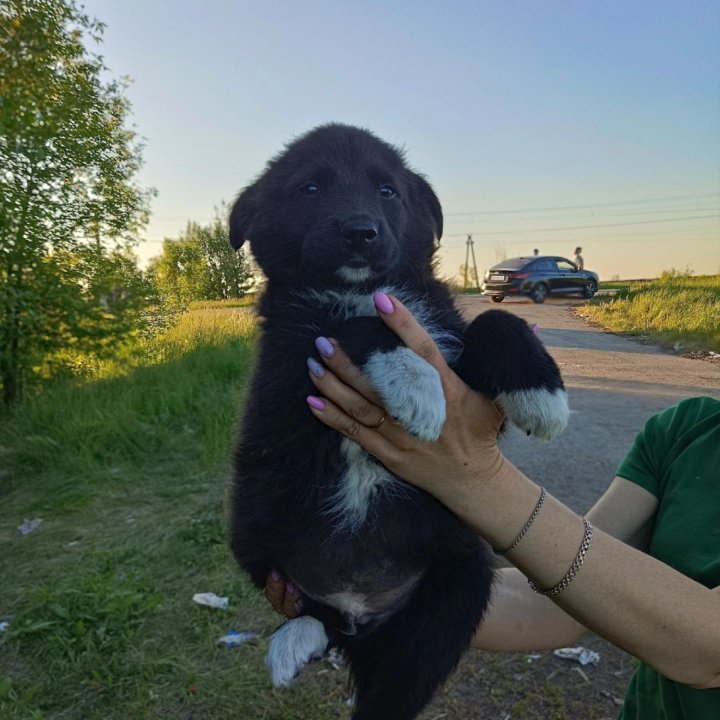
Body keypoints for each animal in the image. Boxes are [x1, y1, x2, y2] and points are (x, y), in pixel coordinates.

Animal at [228, 125, 572, 720]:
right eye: (310, 188)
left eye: (387, 191)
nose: (360, 233)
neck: (362, 287)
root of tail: (360, 608)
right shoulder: (292, 355)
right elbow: (352, 326)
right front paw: (416, 386)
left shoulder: (460, 367)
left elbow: (496, 318)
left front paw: (542, 394)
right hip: (250, 523)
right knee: (314, 612)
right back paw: (298, 635)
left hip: (459, 583)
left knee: (395, 676)